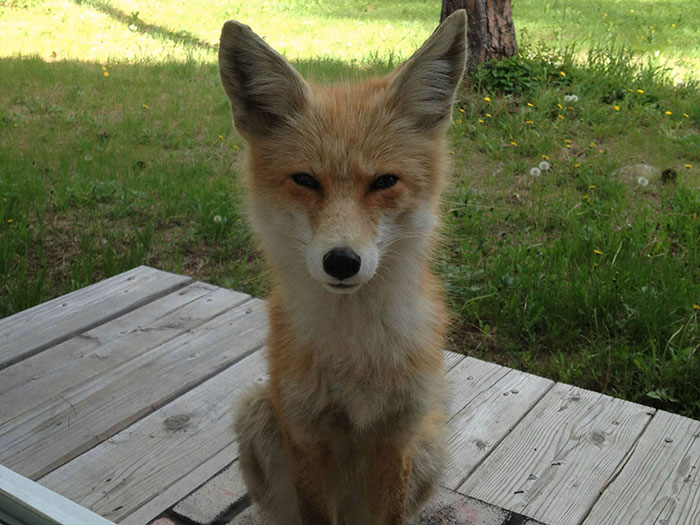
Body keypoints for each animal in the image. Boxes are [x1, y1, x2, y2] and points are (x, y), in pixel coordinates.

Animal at [218, 10, 467, 524]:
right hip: (258, 413)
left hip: (430, 445)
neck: (356, 357)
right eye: (305, 180)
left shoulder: (398, 433)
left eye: (385, 182)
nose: (342, 261)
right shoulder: (304, 431)